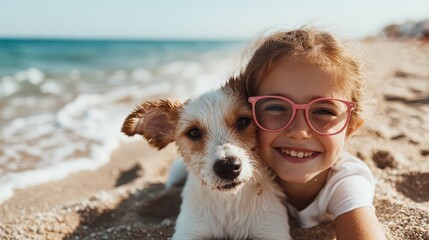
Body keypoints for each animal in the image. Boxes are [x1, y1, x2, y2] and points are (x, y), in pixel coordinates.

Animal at [122, 77, 292, 240]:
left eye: (243, 121)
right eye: (193, 132)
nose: (227, 167)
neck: (228, 202)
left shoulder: (272, 229)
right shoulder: (189, 230)